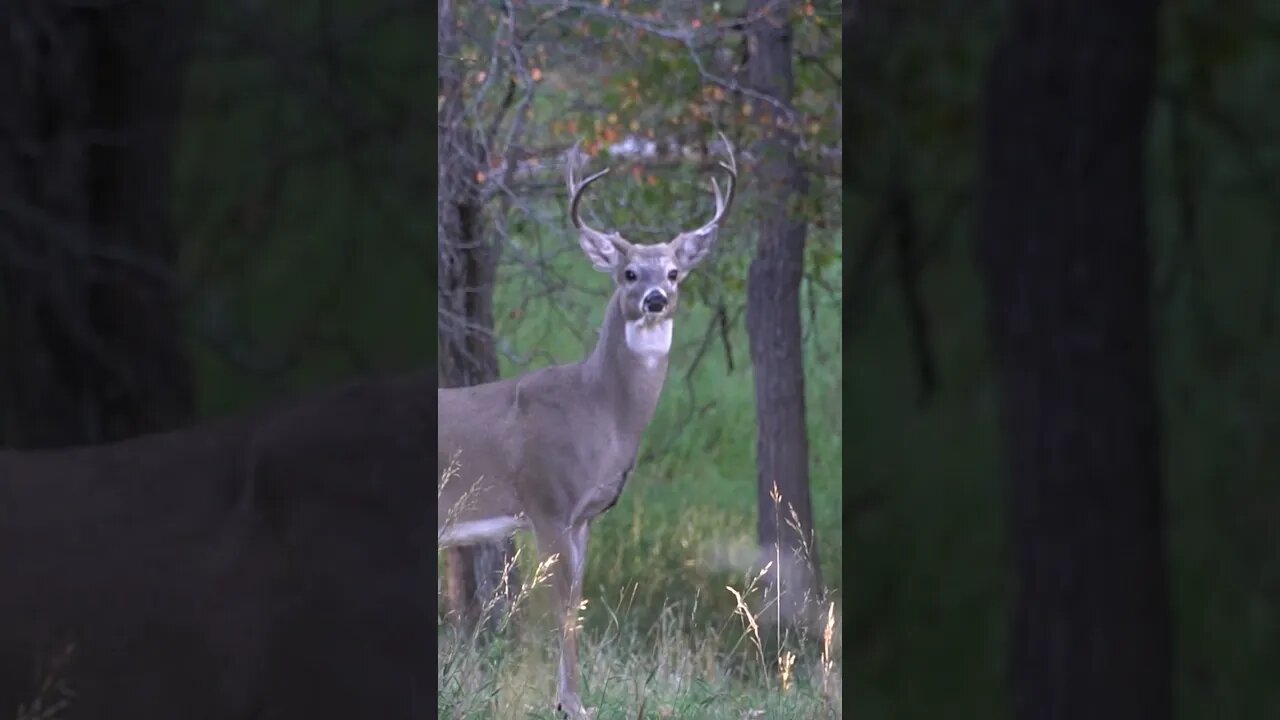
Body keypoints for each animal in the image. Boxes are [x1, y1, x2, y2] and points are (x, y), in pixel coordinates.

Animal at [440, 134, 742, 712]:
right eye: (629, 273)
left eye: (674, 273)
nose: (656, 299)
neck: (599, 412)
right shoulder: (547, 503)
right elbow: (563, 609)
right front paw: (573, 703)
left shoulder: (585, 517)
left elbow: (577, 604)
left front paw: (571, 700)